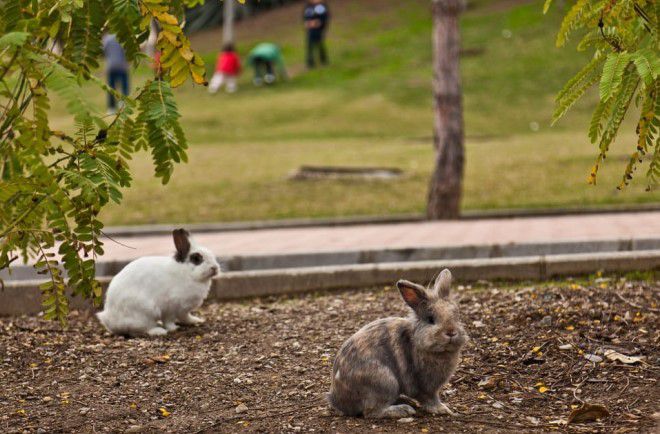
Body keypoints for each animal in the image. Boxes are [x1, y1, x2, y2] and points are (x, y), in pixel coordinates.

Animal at [328, 270, 466, 418]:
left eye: (457, 315)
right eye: (430, 319)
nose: (451, 332)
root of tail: (337, 400)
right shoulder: (425, 387)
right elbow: (430, 399)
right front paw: (442, 409)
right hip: (385, 382)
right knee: (372, 412)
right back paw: (404, 409)